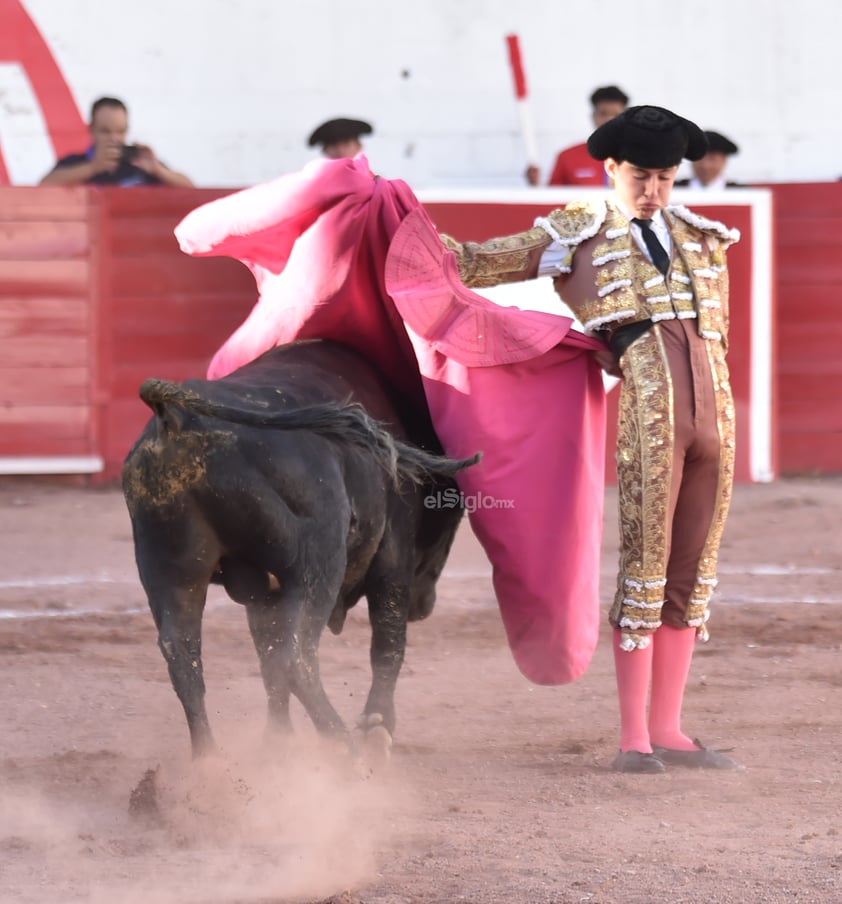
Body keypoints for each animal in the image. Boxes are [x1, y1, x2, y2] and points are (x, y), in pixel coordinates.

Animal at [124, 342, 480, 760]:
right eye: (451, 515)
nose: (423, 606)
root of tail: (179, 419)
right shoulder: (392, 558)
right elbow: (387, 645)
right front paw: (376, 727)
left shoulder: (263, 593)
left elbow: (268, 661)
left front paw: (278, 741)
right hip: (318, 562)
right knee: (297, 656)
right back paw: (344, 749)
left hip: (169, 570)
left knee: (184, 655)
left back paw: (209, 762)